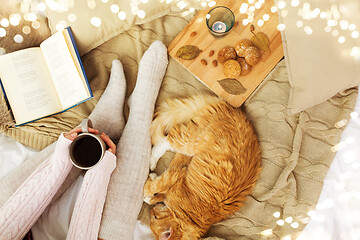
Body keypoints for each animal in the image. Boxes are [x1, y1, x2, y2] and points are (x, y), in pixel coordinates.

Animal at [143, 94, 262, 240]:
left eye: (154, 217)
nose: (152, 212)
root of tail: (230, 109)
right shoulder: (176, 174)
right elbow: (155, 187)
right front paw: (149, 190)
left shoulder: (176, 174)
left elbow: (154, 190)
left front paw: (149, 194)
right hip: (191, 142)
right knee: (169, 138)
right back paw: (152, 160)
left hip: (190, 144)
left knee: (170, 139)